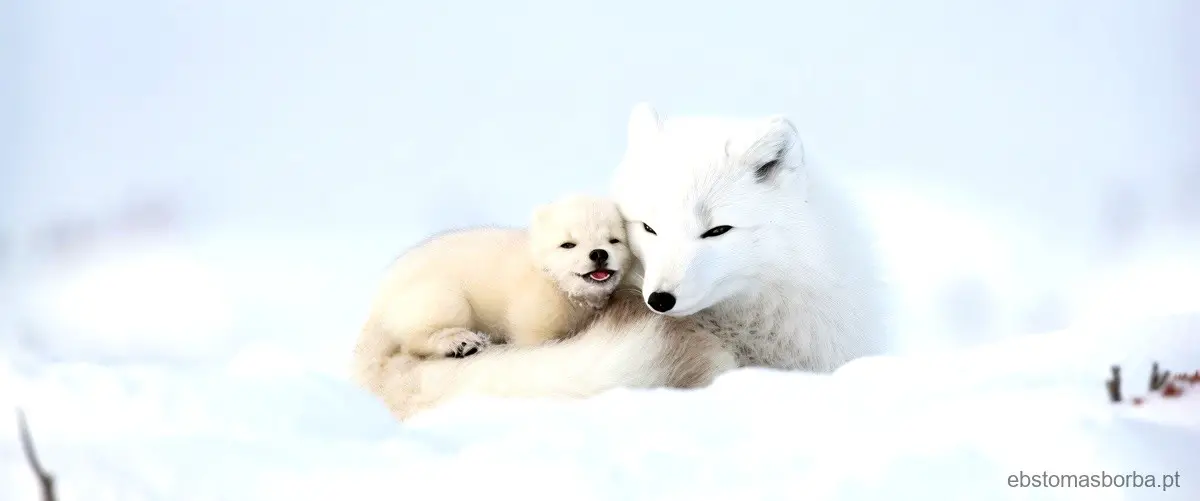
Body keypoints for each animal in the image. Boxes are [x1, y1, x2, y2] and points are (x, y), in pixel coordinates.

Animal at [350, 194, 633, 393]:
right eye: (568, 244)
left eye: (614, 240)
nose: (598, 254)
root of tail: (378, 301)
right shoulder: (535, 308)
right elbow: (533, 339)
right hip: (436, 293)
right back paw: (460, 342)